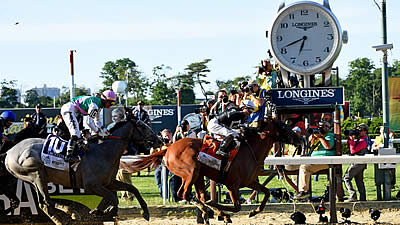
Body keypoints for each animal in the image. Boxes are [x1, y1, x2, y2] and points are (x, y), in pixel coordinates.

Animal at [3, 118, 162, 225]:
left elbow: (132, 189)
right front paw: (101, 211)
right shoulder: (91, 185)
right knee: (46, 201)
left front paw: (145, 212)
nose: (160, 141)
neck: (104, 151)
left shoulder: (109, 182)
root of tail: (9, 152)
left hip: (32, 180)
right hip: (36, 174)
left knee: (43, 204)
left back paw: (63, 218)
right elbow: (112, 197)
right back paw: (72, 213)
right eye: (143, 126)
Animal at [131, 118, 304, 224]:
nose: (300, 139)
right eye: (284, 126)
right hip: (191, 172)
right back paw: (212, 210)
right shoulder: (232, 184)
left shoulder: (250, 181)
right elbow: (236, 206)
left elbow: (267, 193)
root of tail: (168, 148)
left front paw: (254, 212)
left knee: (197, 195)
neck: (251, 150)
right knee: (183, 194)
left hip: (198, 176)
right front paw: (220, 209)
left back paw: (209, 211)